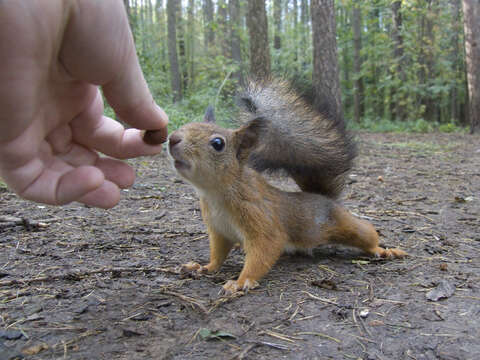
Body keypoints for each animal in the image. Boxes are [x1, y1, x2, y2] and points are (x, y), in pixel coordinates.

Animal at [149, 78, 404, 292]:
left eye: (218, 143)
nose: (173, 139)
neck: (215, 193)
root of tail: (324, 198)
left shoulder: (258, 216)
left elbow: (265, 247)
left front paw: (241, 281)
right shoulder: (219, 230)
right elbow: (218, 254)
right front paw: (205, 267)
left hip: (345, 225)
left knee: (366, 233)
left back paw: (384, 250)